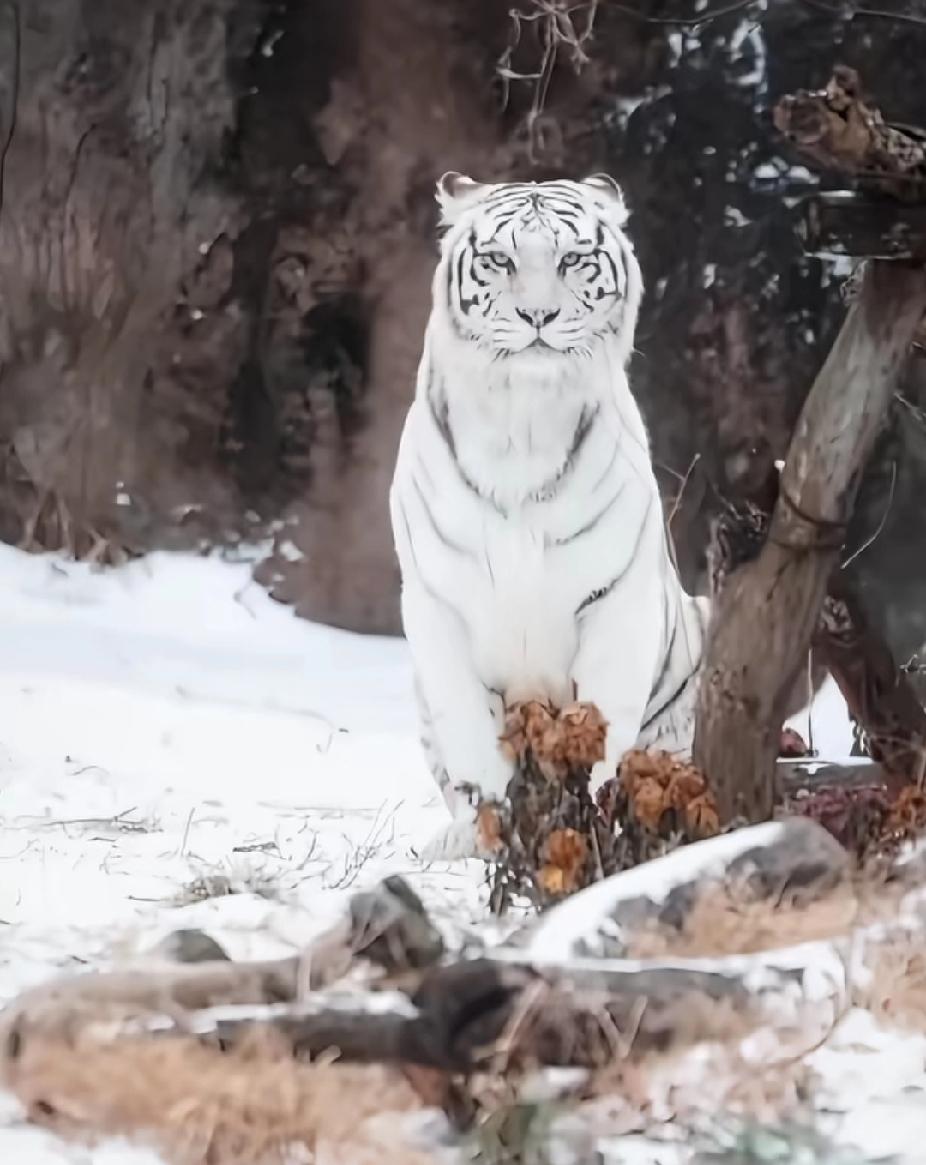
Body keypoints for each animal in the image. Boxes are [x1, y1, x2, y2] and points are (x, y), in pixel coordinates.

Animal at [389, 172, 710, 862]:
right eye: (499, 260)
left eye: (572, 260)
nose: (538, 317)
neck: (523, 426)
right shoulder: (436, 608)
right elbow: (474, 746)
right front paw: (495, 839)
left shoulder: (618, 602)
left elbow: (603, 733)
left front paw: (594, 831)